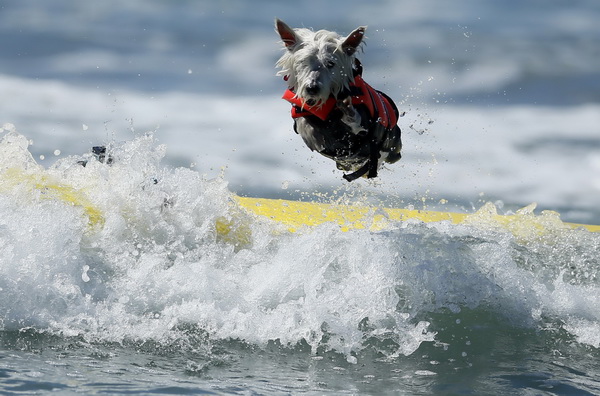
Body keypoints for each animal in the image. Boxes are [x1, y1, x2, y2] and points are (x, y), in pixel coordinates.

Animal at [276, 19, 404, 182]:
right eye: (303, 61)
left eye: (331, 63)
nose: (312, 88)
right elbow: (306, 126)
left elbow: (357, 123)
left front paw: (347, 110)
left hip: (393, 144)